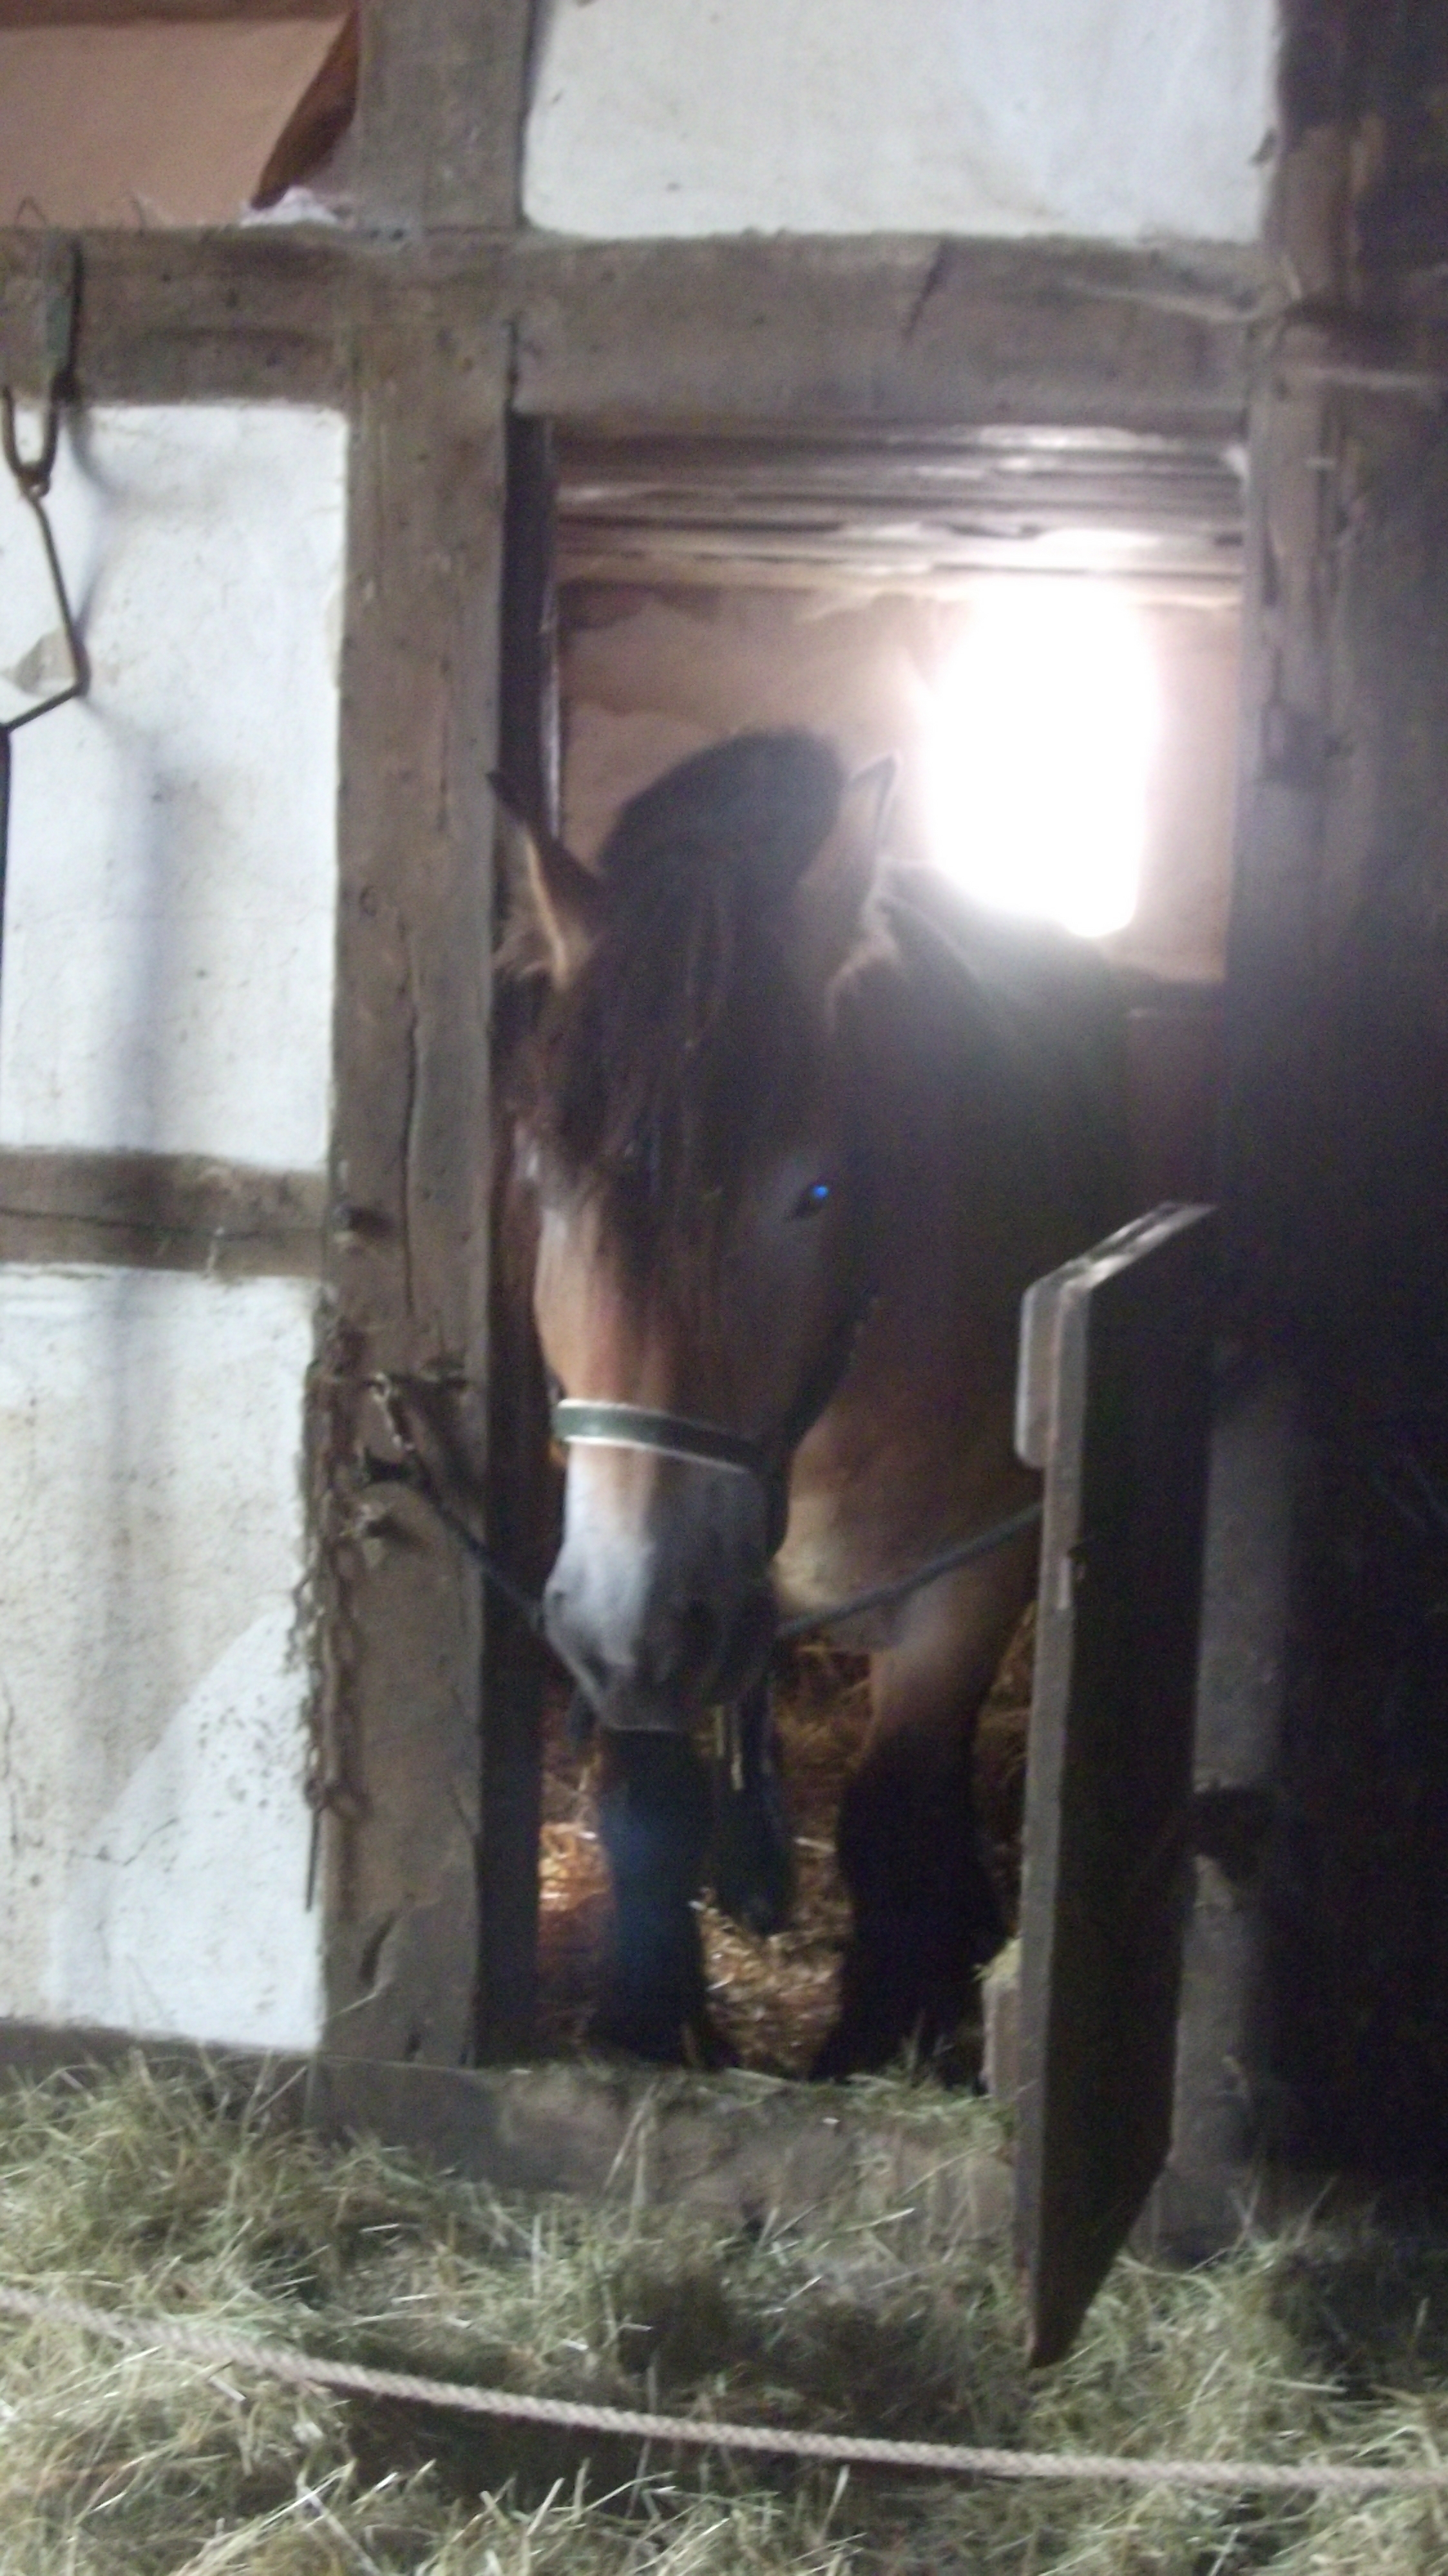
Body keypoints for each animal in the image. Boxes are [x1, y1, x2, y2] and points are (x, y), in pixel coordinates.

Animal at [495, 726, 1129, 2071]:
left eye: (815, 1195)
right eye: (541, 1176)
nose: (635, 1627)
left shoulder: (969, 1584)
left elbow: (894, 1813)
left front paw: (886, 2034)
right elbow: (646, 1799)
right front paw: (648, 2022)